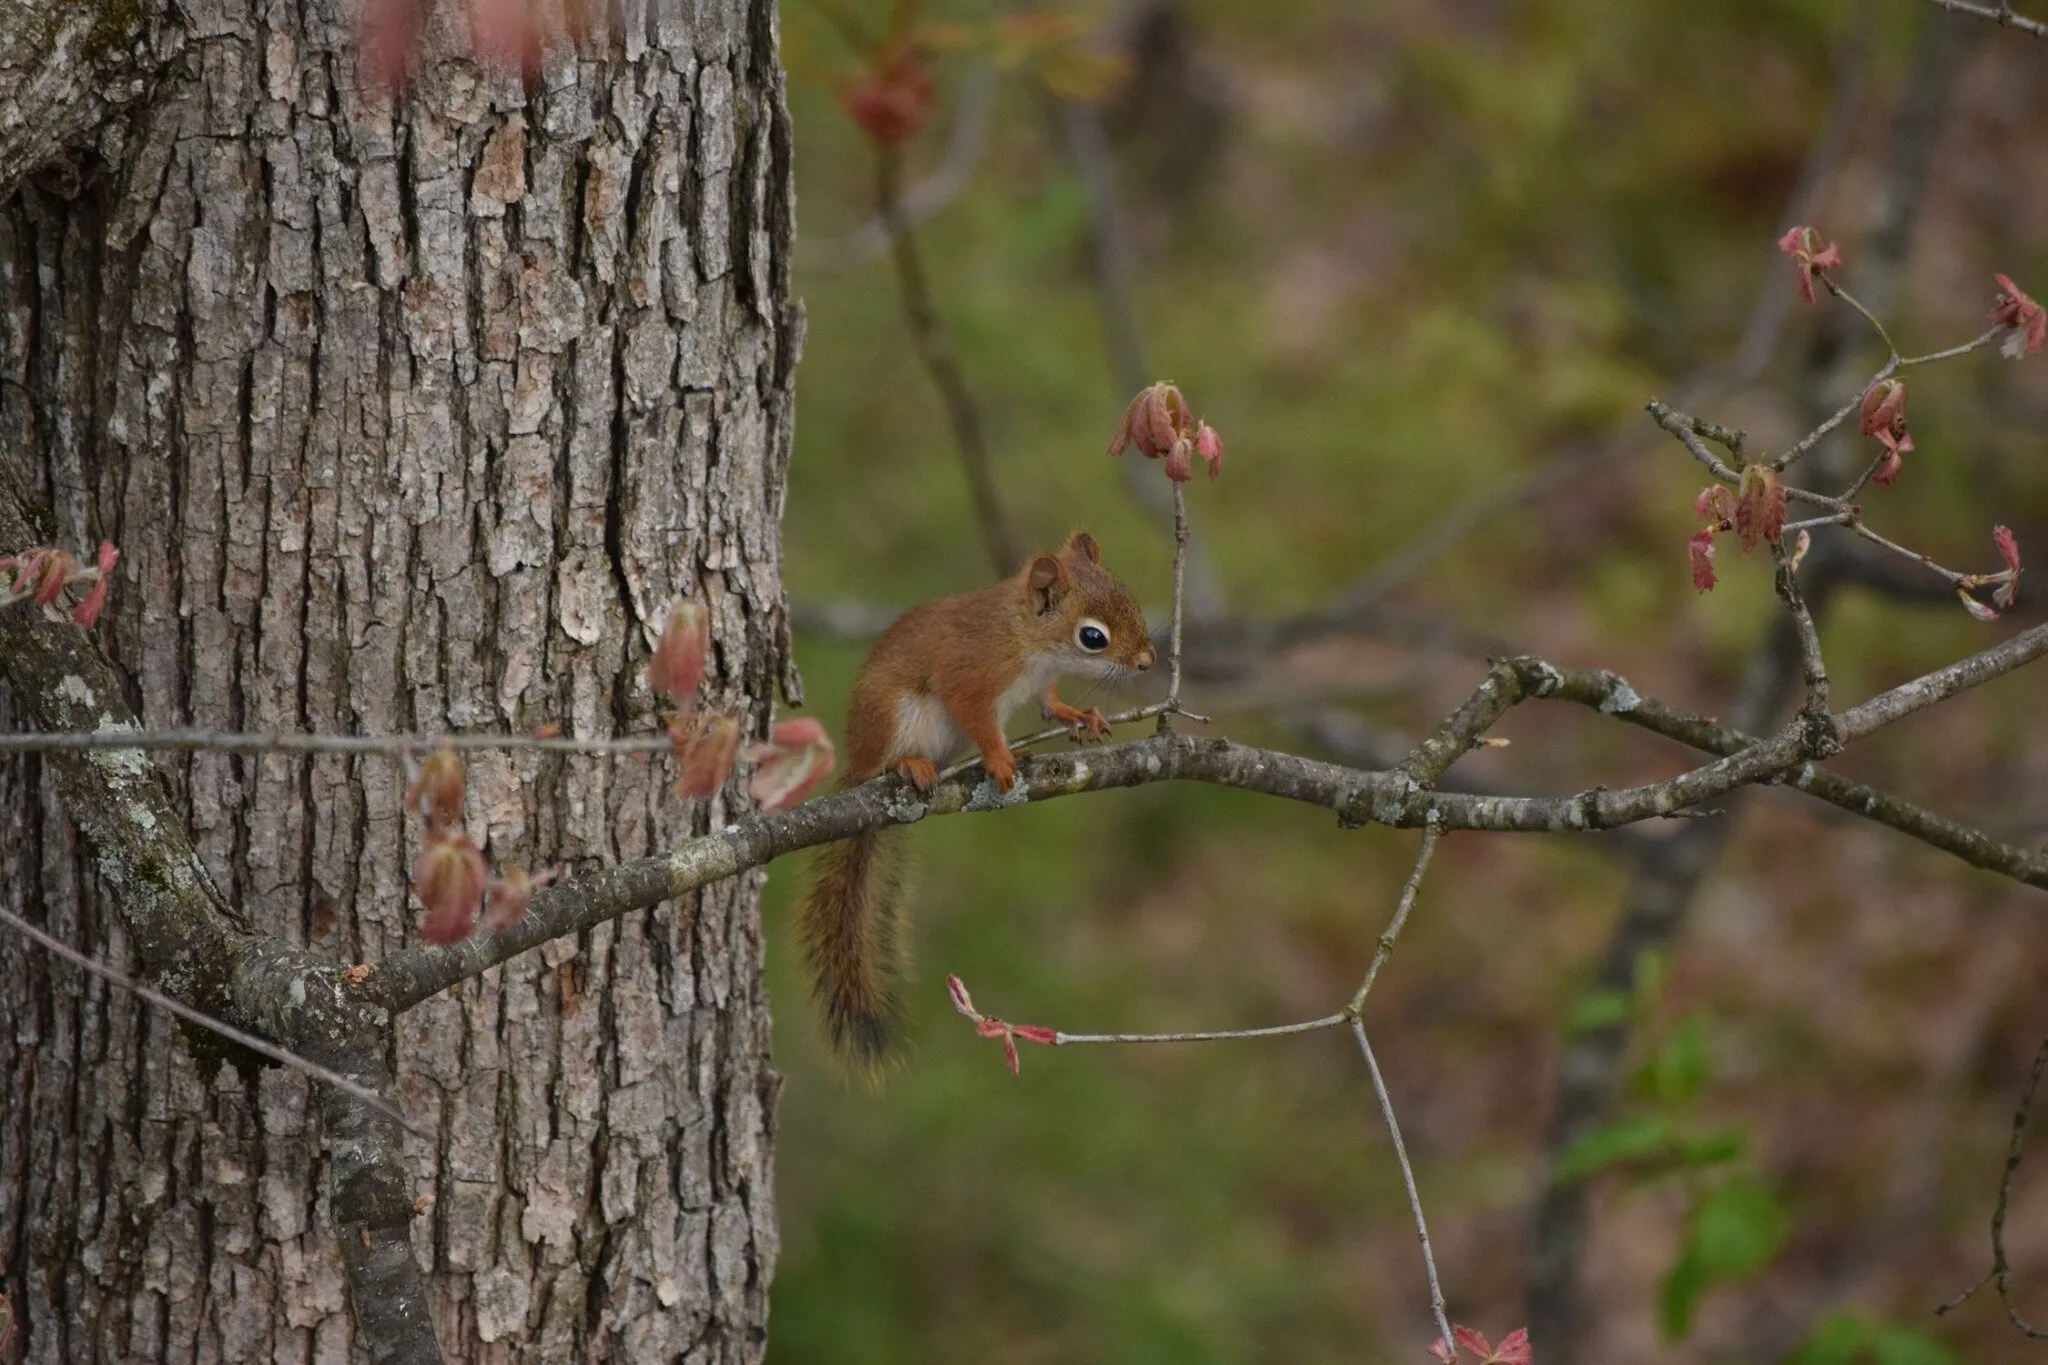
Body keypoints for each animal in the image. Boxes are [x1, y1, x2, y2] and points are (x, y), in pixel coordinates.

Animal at [801, 530, 1156, 1068]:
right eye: (1093, 637)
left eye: (1130, 599)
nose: (1147, 662)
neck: (1024, 636)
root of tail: (855, 764)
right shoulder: (969, 673)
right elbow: (976, 714)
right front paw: (1000, 757)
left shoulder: (1038, 684)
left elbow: (1050, 706)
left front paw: (1080, 715)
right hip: (894, 718)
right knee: (883, 764)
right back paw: (910, 764)